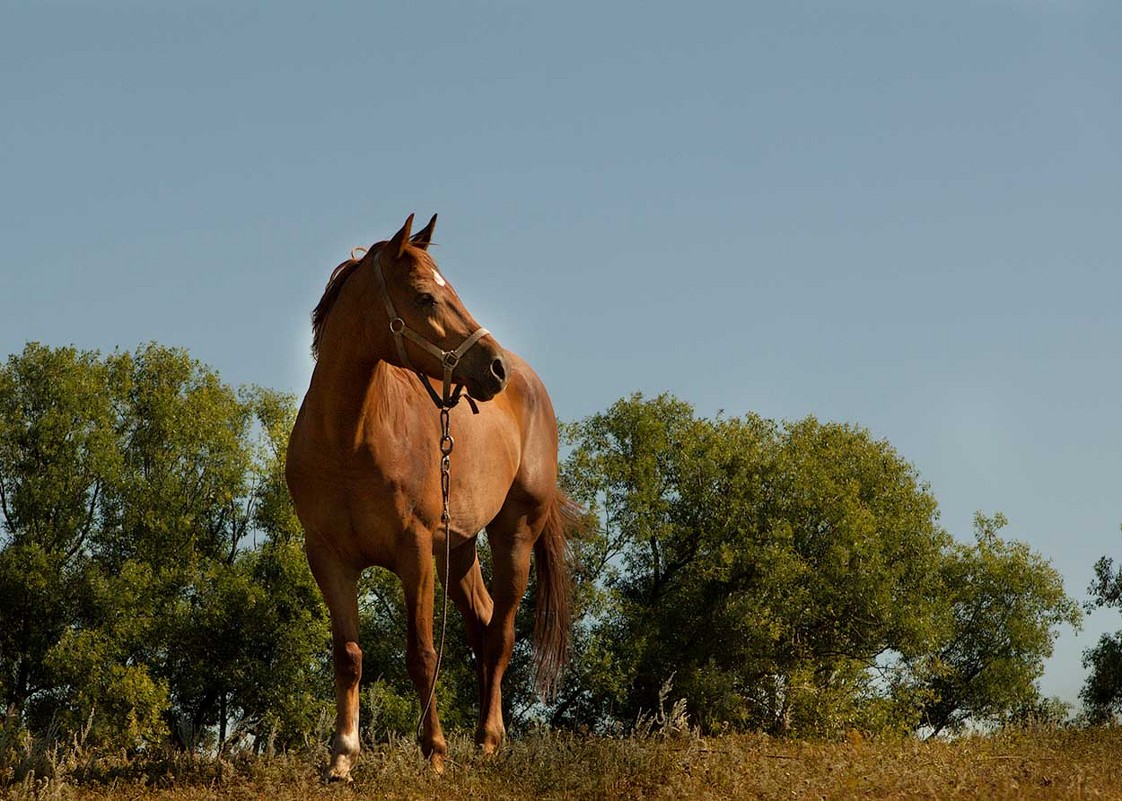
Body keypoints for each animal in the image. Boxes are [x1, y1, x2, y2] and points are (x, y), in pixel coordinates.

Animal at [287, 214, 578, 780]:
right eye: (425, 297)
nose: (494, 368)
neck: (348, 440)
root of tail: (531, 383)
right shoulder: (329, 558)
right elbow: (348, 655)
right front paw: (342, 756)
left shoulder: (415, 553)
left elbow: (422, 654)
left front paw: (435, 752)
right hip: (458, 549)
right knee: (483, 624)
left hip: (514, 535)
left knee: (501, 634)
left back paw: (487, 741)